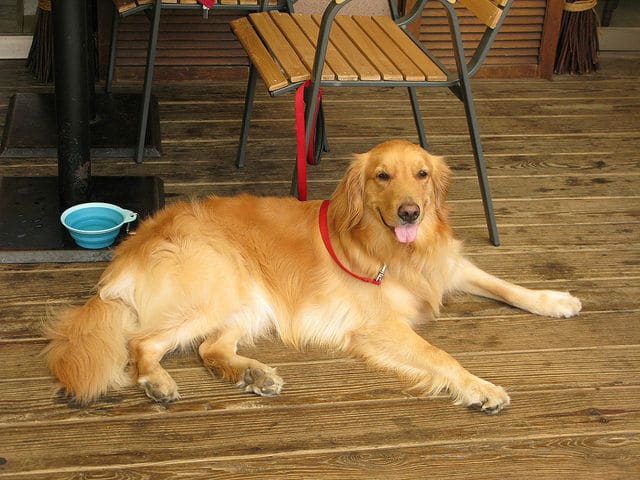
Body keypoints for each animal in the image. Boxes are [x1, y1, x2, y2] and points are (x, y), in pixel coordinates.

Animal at [43, 139, 580, 412]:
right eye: (382, 176)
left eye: (422, 174)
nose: (410, 212)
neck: (395, 249)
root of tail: (129, 248)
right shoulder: (379, 326)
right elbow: (439, 356)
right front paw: (480, 387)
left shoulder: (446, 265)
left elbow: (506, 285)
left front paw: (554, 300)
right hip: (219, 287)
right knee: (142, 344)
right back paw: (158, 381)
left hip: (249, 302)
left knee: (209, 348)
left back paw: (253, 374)